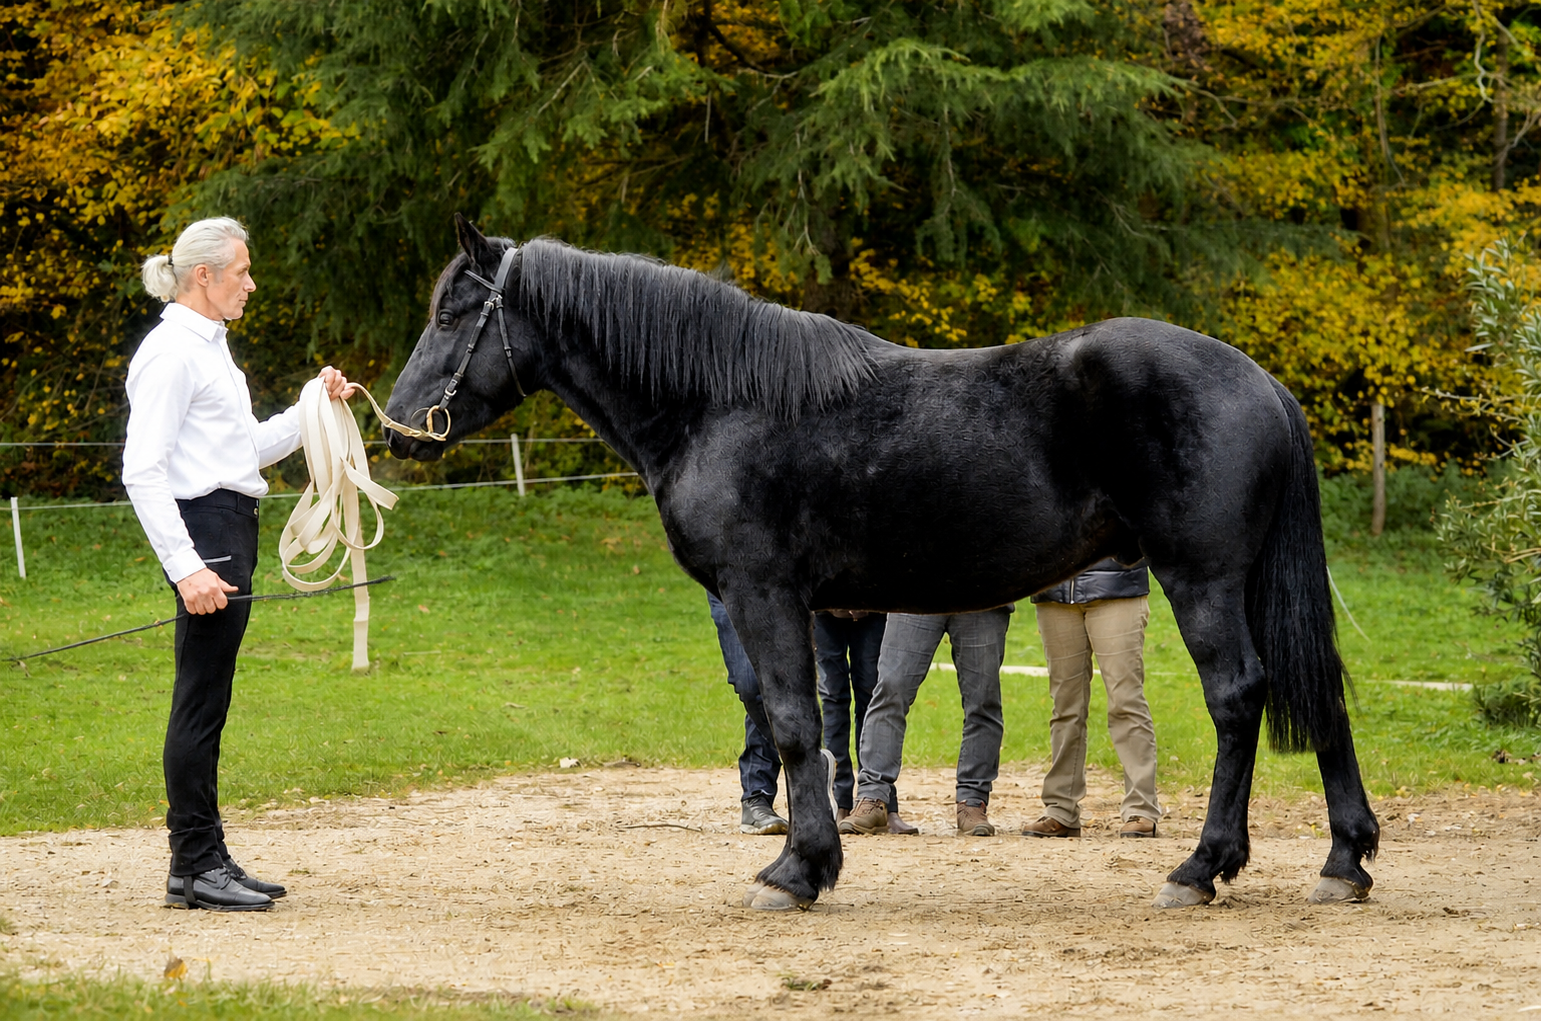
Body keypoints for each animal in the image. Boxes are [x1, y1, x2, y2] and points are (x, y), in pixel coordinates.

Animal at [384, 215, 1380, 912]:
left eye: (451, 312)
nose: (396, 428)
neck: (718, 402)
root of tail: (1260, 382)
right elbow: (814, 727)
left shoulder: (763, 595)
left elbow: (795, 725)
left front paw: (797, 869)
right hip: (1249, 582)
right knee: (1314, 690)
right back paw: (1343, 861)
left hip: (1199, 578)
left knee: (1237, 696)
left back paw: (1200, 866)